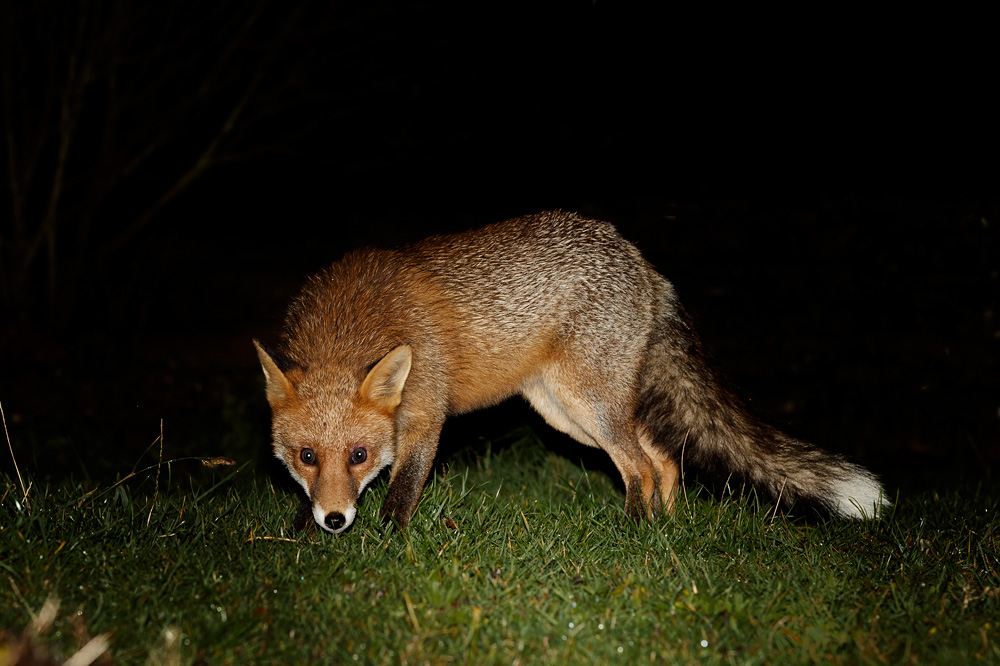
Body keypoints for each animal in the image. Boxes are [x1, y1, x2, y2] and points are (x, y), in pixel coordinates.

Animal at [254, 210, 888, 534]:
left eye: (360, 455)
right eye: (306, 456)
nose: (337, 519)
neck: (351, 323)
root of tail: (640, 259)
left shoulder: (424, 417)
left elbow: (401, 493)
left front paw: (387, 543)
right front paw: (301, 533)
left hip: (591, 405)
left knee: (639, 463)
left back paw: (634, 533)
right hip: (566, 414)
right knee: (662, 459)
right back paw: (667, 528)